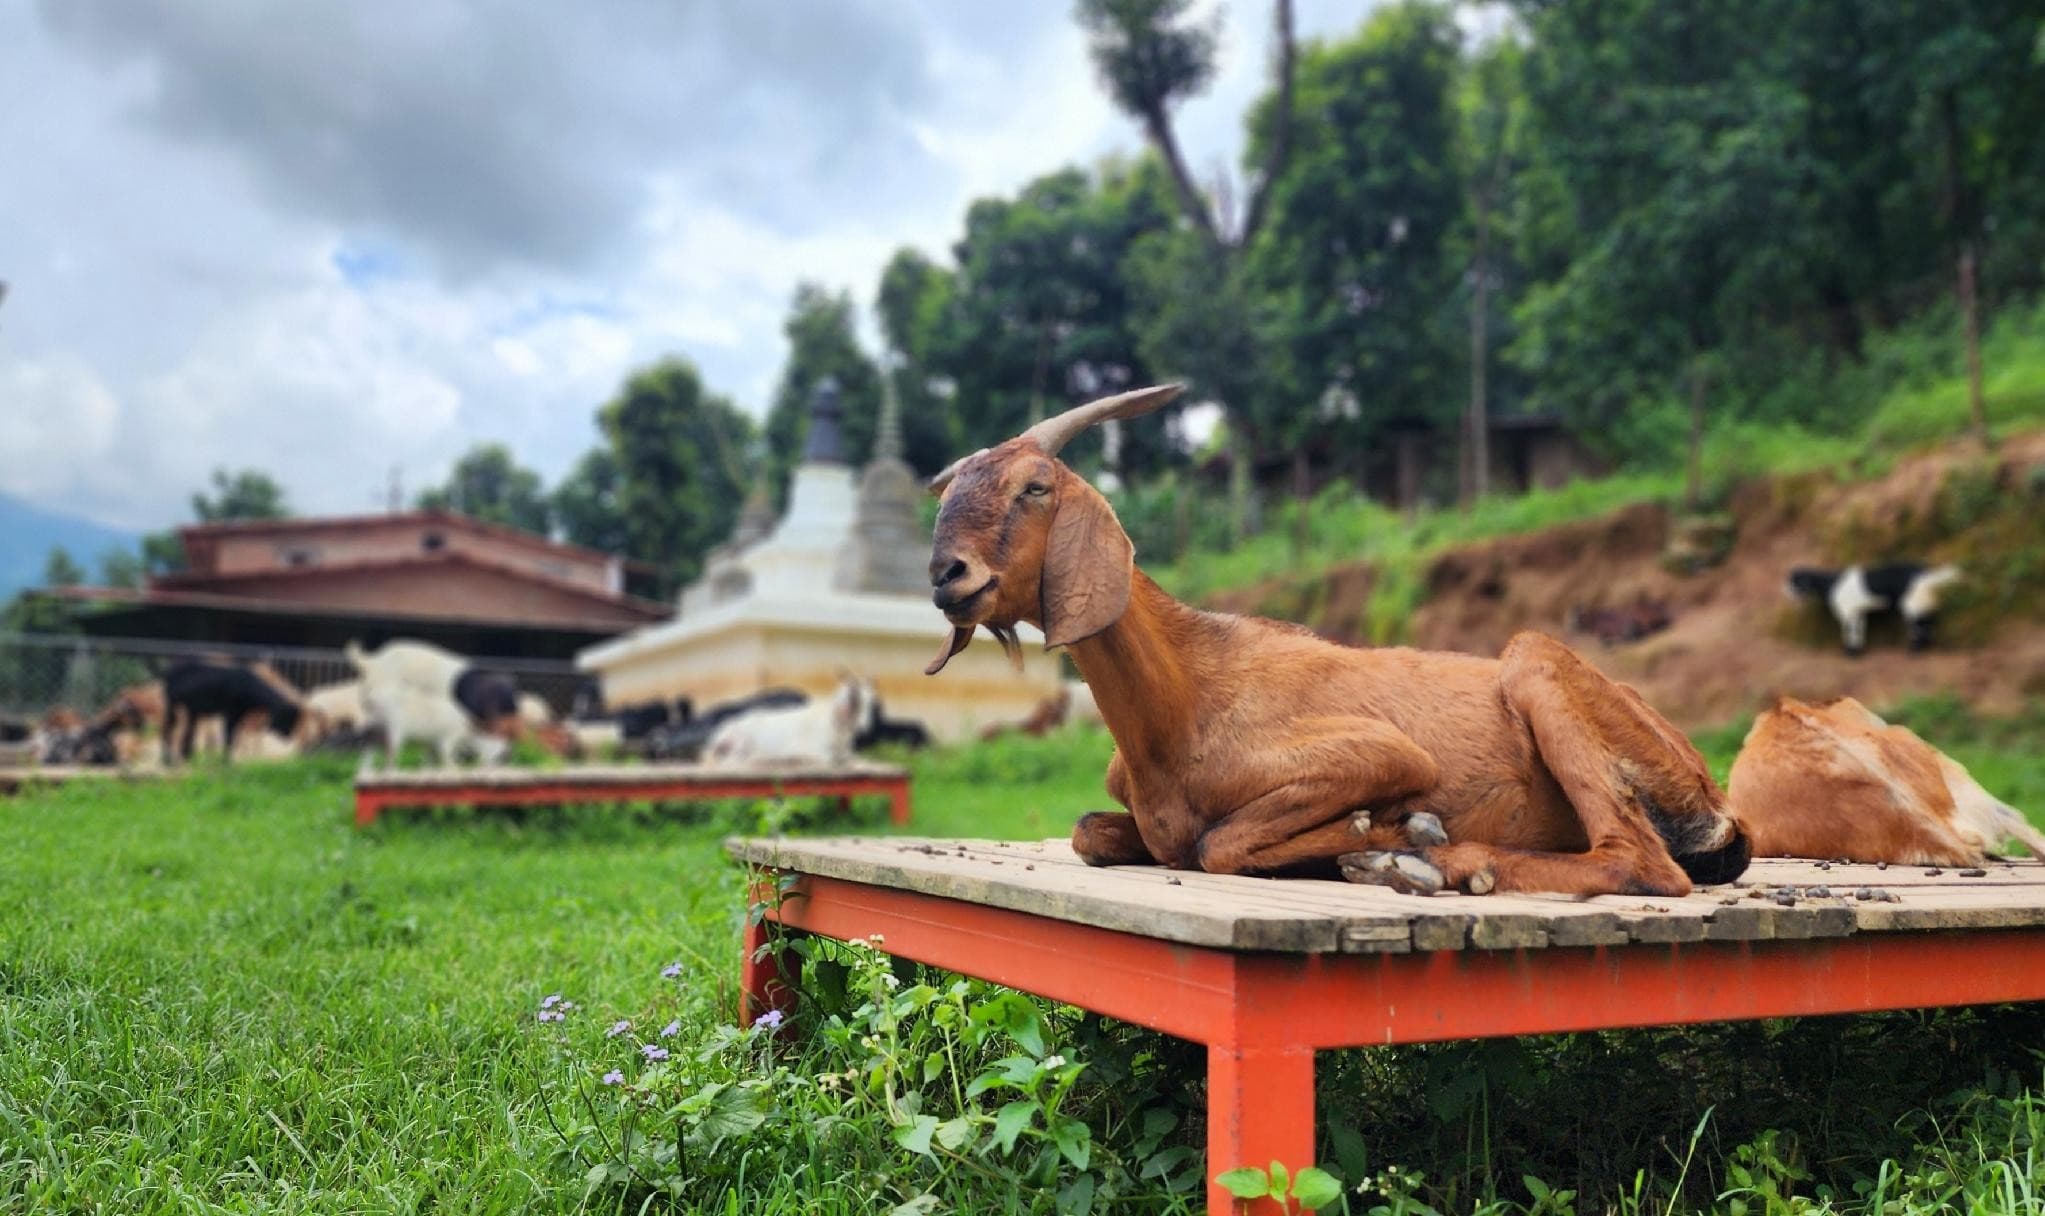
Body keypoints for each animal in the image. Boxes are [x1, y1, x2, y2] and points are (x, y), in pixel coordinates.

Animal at [704, 675, 875, 769]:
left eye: (870, 702)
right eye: (854, 700)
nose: (864, 728)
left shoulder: (846, 753)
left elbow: (860, 760)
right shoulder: (817, 753)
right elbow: (830, 762)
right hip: (741, 743)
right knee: (731, 762)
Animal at [923, 385, 1748, 897]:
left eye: (1034, 487)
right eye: (953, 492)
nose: (945, 572)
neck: (1181, 701)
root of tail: (1712, 798)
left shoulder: (1380, 753)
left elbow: (1218, 844)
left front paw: (1388, 831)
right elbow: (1091, 832)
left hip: (1534, 660)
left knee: (1637, 863)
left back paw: (1437, 864)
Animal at [1787, 562, 1961, 656]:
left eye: (1794, 582)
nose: (1784, 589)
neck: (1831, 584)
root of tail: (1927, 576)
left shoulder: (1849, 612)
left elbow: (1850, 632)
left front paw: (1851, 653)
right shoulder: (1858, 613)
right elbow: (1859, 630)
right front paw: (1857, 651)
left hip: (1912, 602)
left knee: (1920, 626)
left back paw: (1915, 650)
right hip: (1923, 602)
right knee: (1929, 621)